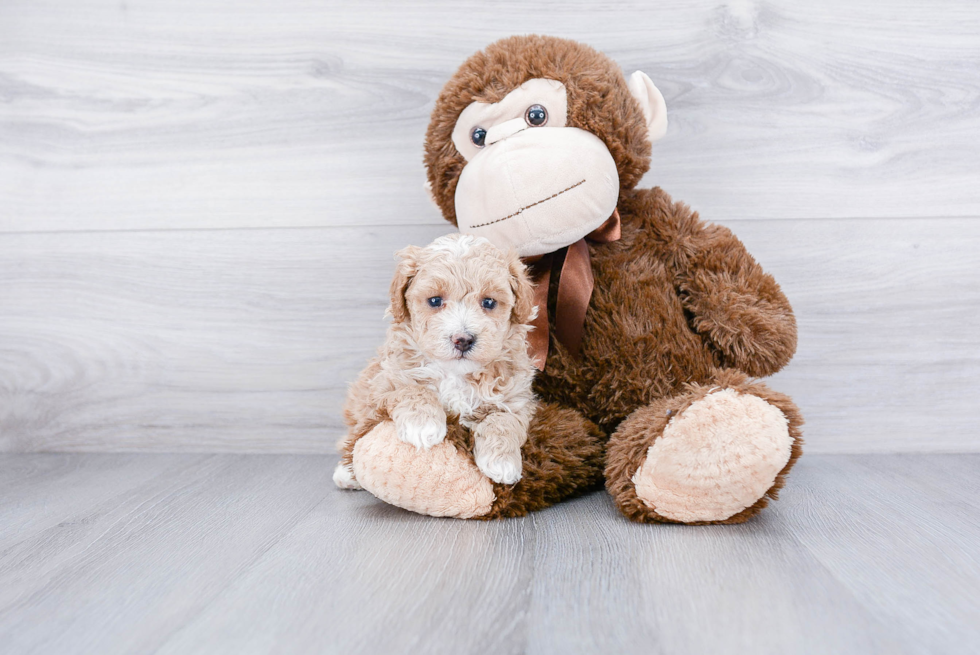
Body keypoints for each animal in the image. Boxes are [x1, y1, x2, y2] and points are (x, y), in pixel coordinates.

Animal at [334, 233, 536, 490]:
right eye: (435, 301)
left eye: (489, 302)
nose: (463, 339)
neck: (454, 373)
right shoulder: (383, 383)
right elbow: (412, 389)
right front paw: (423, 425)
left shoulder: (515, 398)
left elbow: (503, 419)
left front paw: (502, 462)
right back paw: (346, 473)